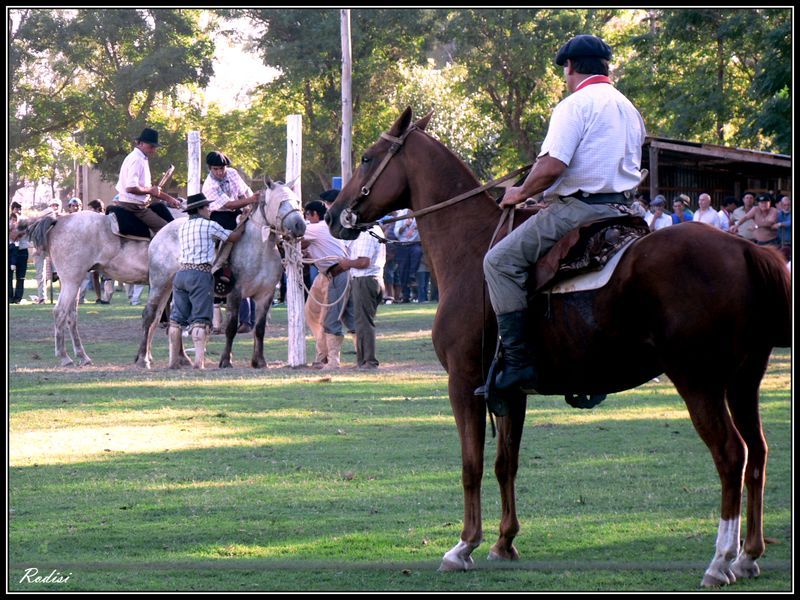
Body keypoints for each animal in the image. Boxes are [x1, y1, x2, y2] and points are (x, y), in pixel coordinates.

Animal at [134, 178, 306, 368]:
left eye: (297, 201)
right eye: (280, 202)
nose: (300, 226)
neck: (259, 249)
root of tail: (160, 233)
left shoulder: (265, 295)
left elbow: (260, 329)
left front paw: (259, 361)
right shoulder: (235, 293)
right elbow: (231, 328)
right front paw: (225, 360)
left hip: (171, 287)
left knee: (169, 319)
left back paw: (180, 358)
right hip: (159, 283)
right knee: (149, 316)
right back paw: (143, 359)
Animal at [328, 106, 792, 584]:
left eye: (367, 157)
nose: (333, 214)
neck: (470, 249)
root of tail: (745, 249)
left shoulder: (464, 382)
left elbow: (471, 465)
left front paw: (464, 545)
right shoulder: (509, 391)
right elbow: (505, 463)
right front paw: (504, 542)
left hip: (698, 380)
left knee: (731, 455)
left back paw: (720, 560)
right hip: (743, 380)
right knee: (758, 452)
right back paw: (748, 553)